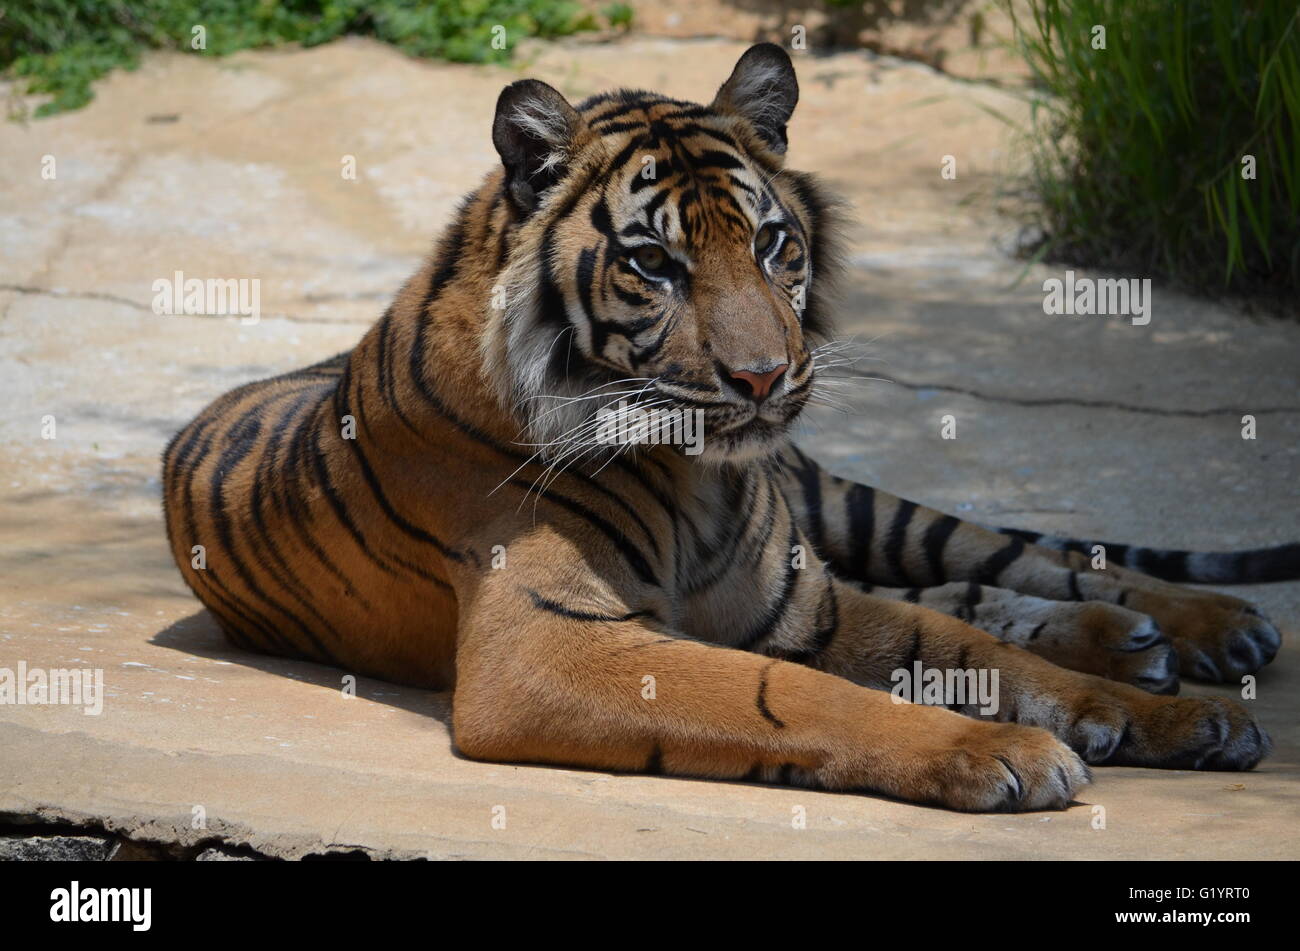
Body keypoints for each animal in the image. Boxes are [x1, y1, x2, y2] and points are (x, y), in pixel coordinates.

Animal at [162, 44, 1297, 812]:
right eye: (653, 264)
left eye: (771, 243)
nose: (763, 377)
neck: (696, 474)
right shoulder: (546, 649)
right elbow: (799, 693)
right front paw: (1004, 753)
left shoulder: (800, 605)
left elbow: (973, 648)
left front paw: (1186, 719)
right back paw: (1141, 646)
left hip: (851, 506)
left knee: (1016, 563)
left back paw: (1194, 629)